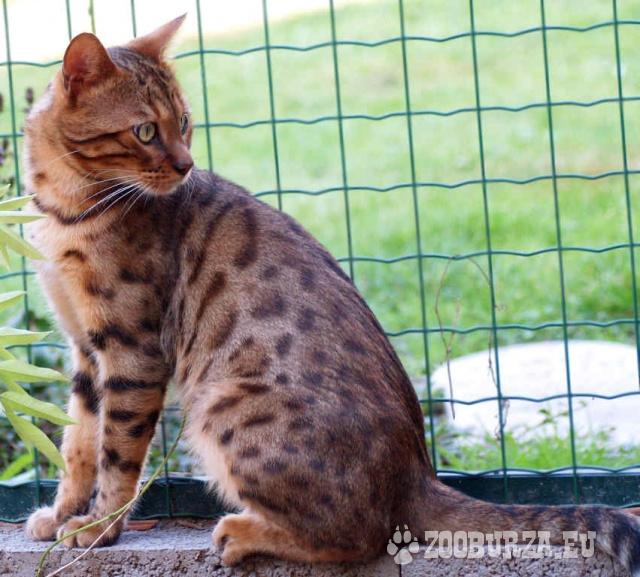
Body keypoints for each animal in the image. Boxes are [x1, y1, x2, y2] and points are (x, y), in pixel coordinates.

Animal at [21, 15, 640, 572]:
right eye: (146, 131)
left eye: (185, 122)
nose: (186, 165)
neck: (66, 209)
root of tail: (419, 473)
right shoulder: (85, 347)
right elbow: (77, 441)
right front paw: (63, 514)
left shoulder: (133, 349)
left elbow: (117, 450)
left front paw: (100, 529)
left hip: (222, 406)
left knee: (363, 537)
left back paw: (243, 534)